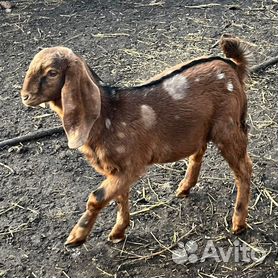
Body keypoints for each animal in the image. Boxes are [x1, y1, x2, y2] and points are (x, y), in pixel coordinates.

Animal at [21, 35, 252, 247]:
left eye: (52, 72)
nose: (25, 96)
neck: (108, 114)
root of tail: (233, 67)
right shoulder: (116, 169)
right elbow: (119, 197)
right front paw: (117, 232)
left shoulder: (130, 166)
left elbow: (96, 197)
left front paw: (76, 237)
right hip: (199, 128)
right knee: (199, 151)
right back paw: (184, 188)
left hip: (228, 127)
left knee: (244, 169)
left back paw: (238, 223)